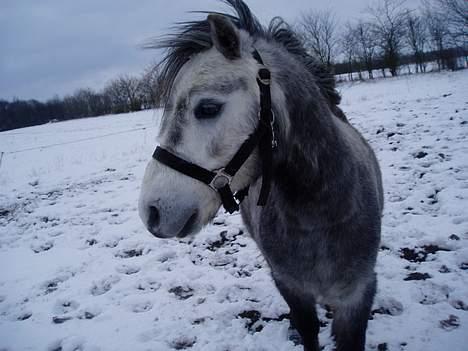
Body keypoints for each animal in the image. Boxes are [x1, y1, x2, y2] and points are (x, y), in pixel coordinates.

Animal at [139, 1, 384, 350]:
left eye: (208, 108)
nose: (152, 211)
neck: (318, 213)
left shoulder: (357, 295)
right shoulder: (290, 286)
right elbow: (308, 328)